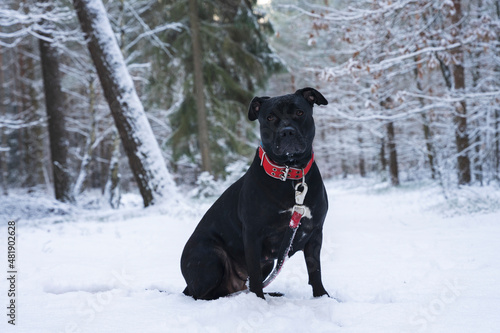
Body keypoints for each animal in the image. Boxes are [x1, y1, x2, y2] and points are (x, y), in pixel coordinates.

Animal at [182, 87, 330, 300]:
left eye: (300, 112)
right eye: (269, 117)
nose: (287, 131)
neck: (290, 174)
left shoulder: (315, 232)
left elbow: (315, 269)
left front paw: (322, 297)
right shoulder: (253, 235)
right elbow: (255, 277)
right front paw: (258, 302)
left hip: (267, 263)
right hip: (210, 255)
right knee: (203, 294)